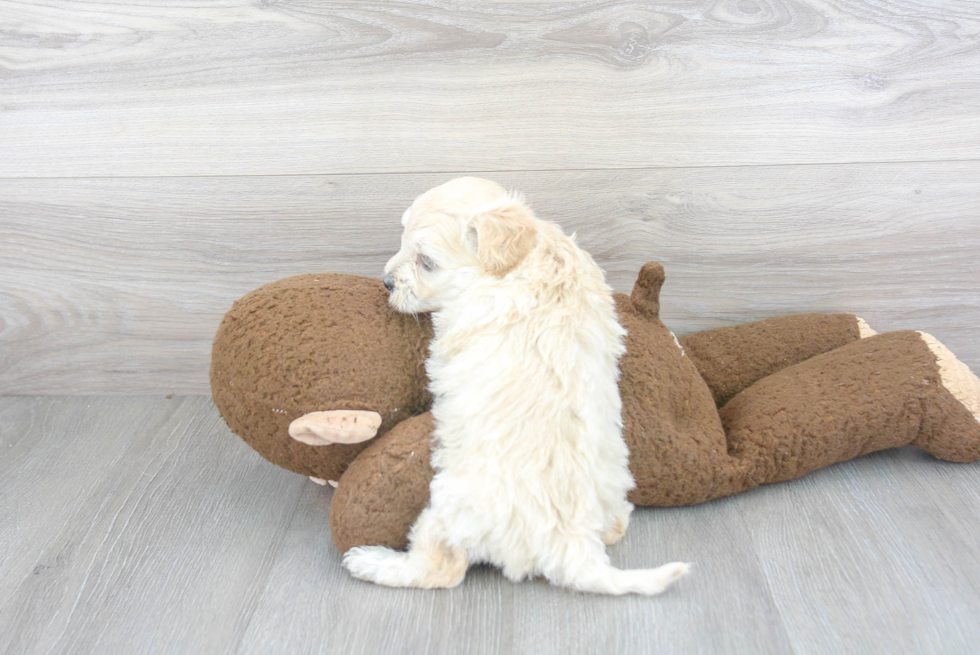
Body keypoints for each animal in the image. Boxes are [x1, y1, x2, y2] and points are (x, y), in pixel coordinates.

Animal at [342, 178, 688, 596]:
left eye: (426, 262)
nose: (387, 282)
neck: (520, 259)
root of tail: (574, 543)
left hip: (449, 505)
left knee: (442, 568)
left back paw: (372, 561)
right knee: (617, 524)